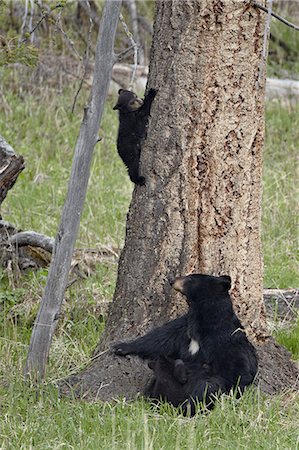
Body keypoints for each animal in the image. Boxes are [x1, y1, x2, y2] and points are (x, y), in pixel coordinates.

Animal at [113, 272, 258, 414]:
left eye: (190, 278)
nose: (171, 280)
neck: (202, 317)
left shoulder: (226, 338)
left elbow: (238, 368)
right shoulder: (184, 325)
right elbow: (160, 338)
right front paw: (121, 347)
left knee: (206, 387)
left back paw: (187, 407)